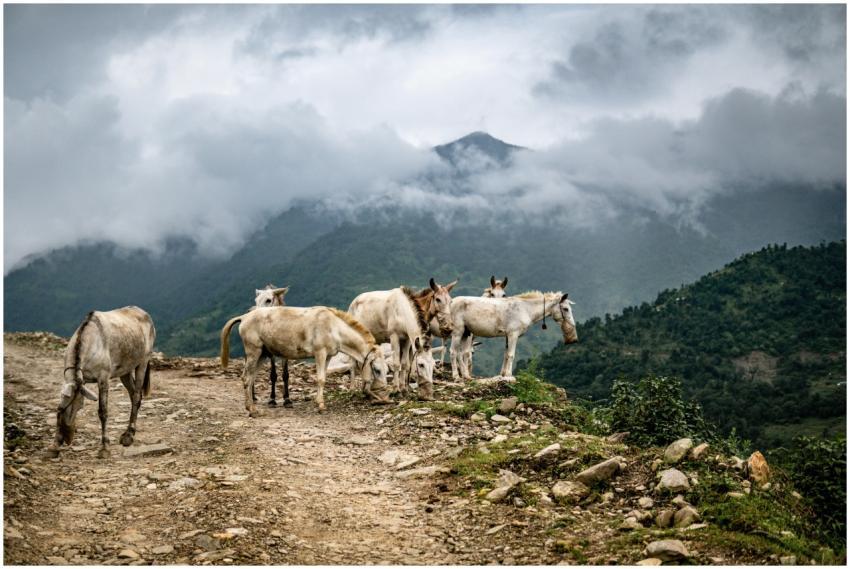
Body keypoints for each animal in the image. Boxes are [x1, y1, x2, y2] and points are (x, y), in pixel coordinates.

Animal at [48, 306, 156, 459]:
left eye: (80, 405)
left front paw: (104, 447)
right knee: (134, 394)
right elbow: (58, 407)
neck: (89, 341)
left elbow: (103, 411)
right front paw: (54, 446)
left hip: (143, 361)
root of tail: (143, 313)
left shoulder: (103, 378)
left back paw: (129, 435)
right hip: (125, 370)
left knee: (136, 396)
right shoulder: (81, 380)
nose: (68, 438)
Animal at [221, 306, 388, 415]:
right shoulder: (320, 353)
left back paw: (251, 407)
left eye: (387, 370)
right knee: (246, 378)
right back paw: (252, 410)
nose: (383, 394)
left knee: (250, 378)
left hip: (262, 354)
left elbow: (323, 377)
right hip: (253, 351)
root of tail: (244, 317)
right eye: (376, 369)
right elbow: (320, 379)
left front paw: (318, 402)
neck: (334, 328)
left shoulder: (328, 356)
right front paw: (320, 406)